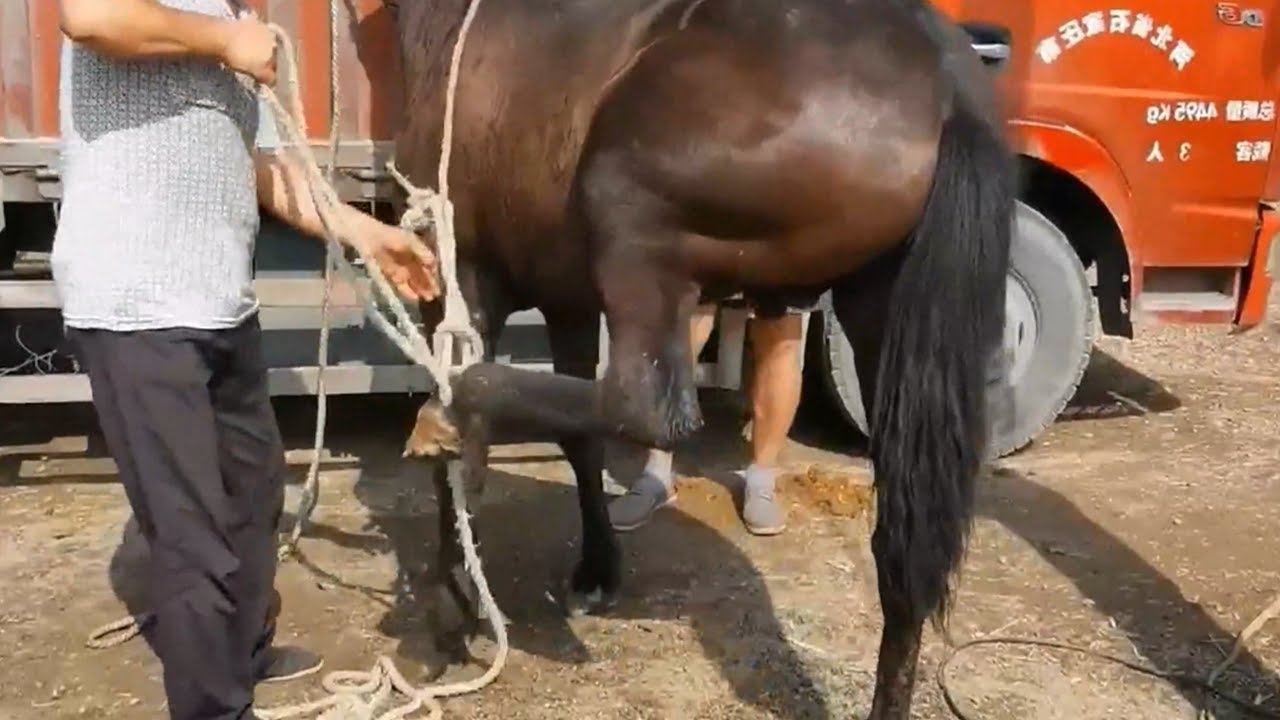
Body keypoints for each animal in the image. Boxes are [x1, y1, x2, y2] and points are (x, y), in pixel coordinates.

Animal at [389, 0, 1014, 717]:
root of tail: (947, 84)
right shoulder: (566, 298)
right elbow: (578, 442)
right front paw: (595, 572)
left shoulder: (459, 272)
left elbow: (462, 461)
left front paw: (447, 615)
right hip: (885, 320)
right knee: (904, 549)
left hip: (627, 215)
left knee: (644, 405)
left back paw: (459, 401)